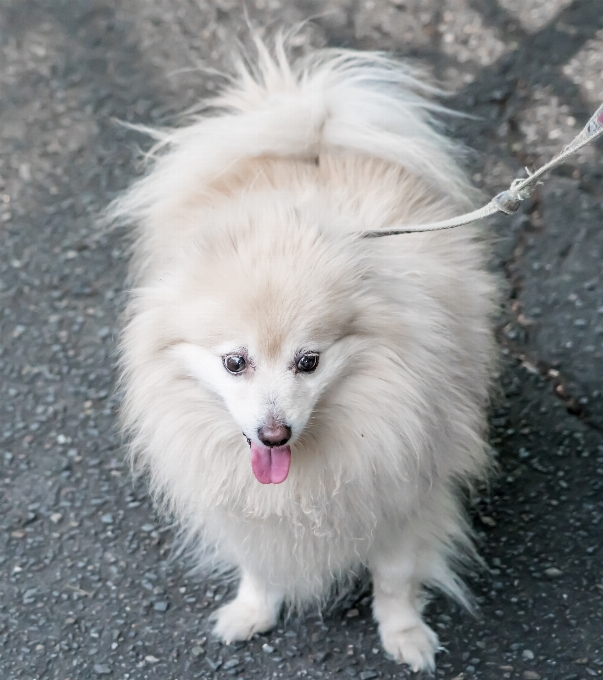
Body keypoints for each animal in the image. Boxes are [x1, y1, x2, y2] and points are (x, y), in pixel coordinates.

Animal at [112, 35, 496, 668]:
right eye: (235, 362)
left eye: (308, 361)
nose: (274, 435)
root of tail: (311, 132)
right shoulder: (247, 508)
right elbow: (259, 562)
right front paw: (252, 611)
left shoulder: (405, 492)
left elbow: (395, 576)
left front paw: (404, 634)